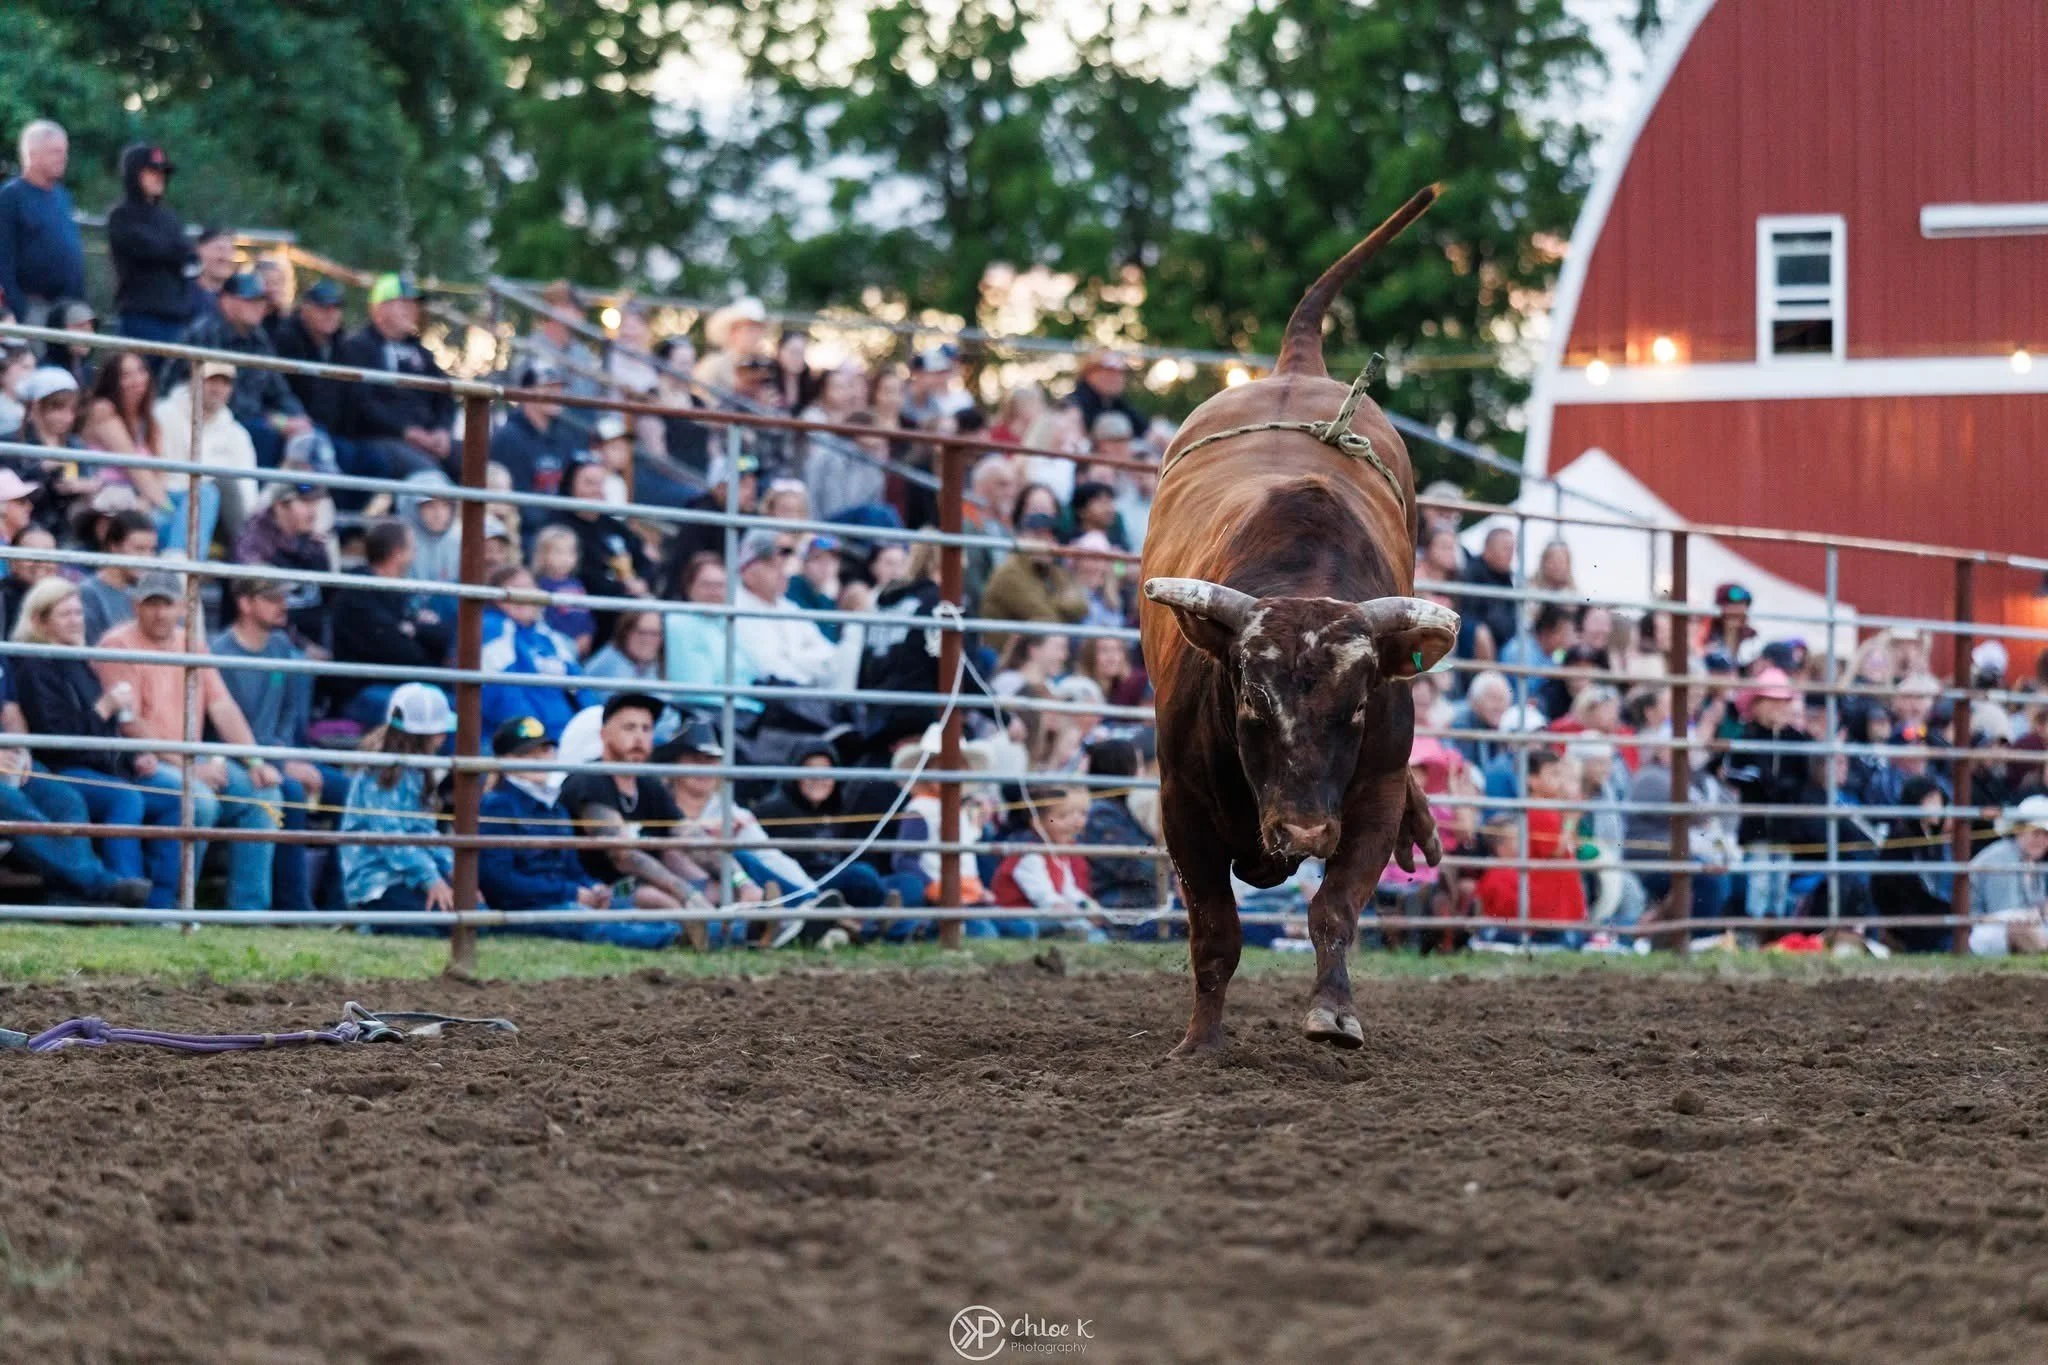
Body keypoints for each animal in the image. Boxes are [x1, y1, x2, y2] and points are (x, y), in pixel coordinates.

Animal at [1138, 186, 1459, 1056]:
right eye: (1252, 703)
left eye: (1355, 709)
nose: (1306, 831)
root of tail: (1294, 366)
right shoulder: (1181, 799)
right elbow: (1214, 929)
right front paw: (1201, 1041)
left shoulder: (1369, 789)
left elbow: (1335, 907)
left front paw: (1333, 1012)